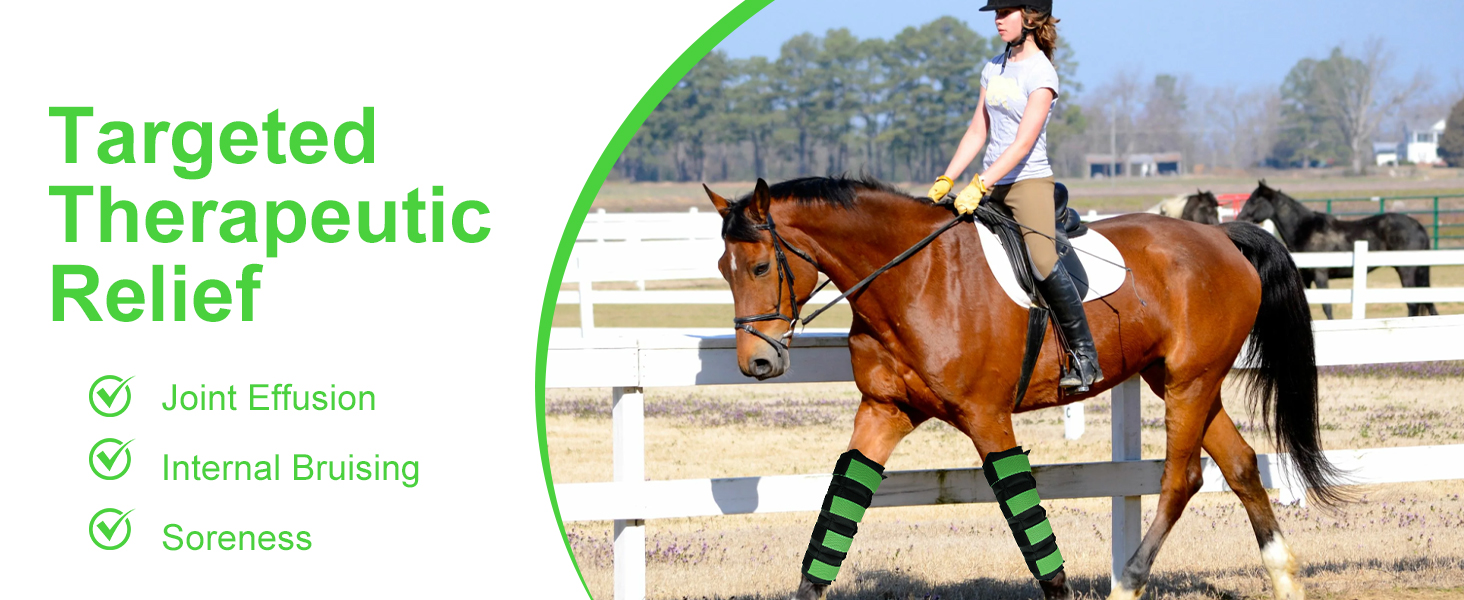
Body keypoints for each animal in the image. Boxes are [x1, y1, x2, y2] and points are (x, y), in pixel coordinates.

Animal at [705, 176, 1341, 600]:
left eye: (760, 268)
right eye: (721, 269)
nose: (756, 362)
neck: (914, 278)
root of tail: (1222, 238)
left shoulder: (987, 418)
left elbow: (1025, 517)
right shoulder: (884, 411)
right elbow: (842, 503)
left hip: (1191, 381)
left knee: (1180, 479)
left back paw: (1129, 583)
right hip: (1179, 382)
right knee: (1240, 465)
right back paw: (1283, 580)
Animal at [1235, 180, 1438, 319]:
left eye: (1254, 201)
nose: (1240, 218)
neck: (1306, 229)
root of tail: (1418, 226)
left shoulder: (1320, 275)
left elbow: (1327, 306)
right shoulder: (1305, 278)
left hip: (1407, 270)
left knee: (1413, 303)